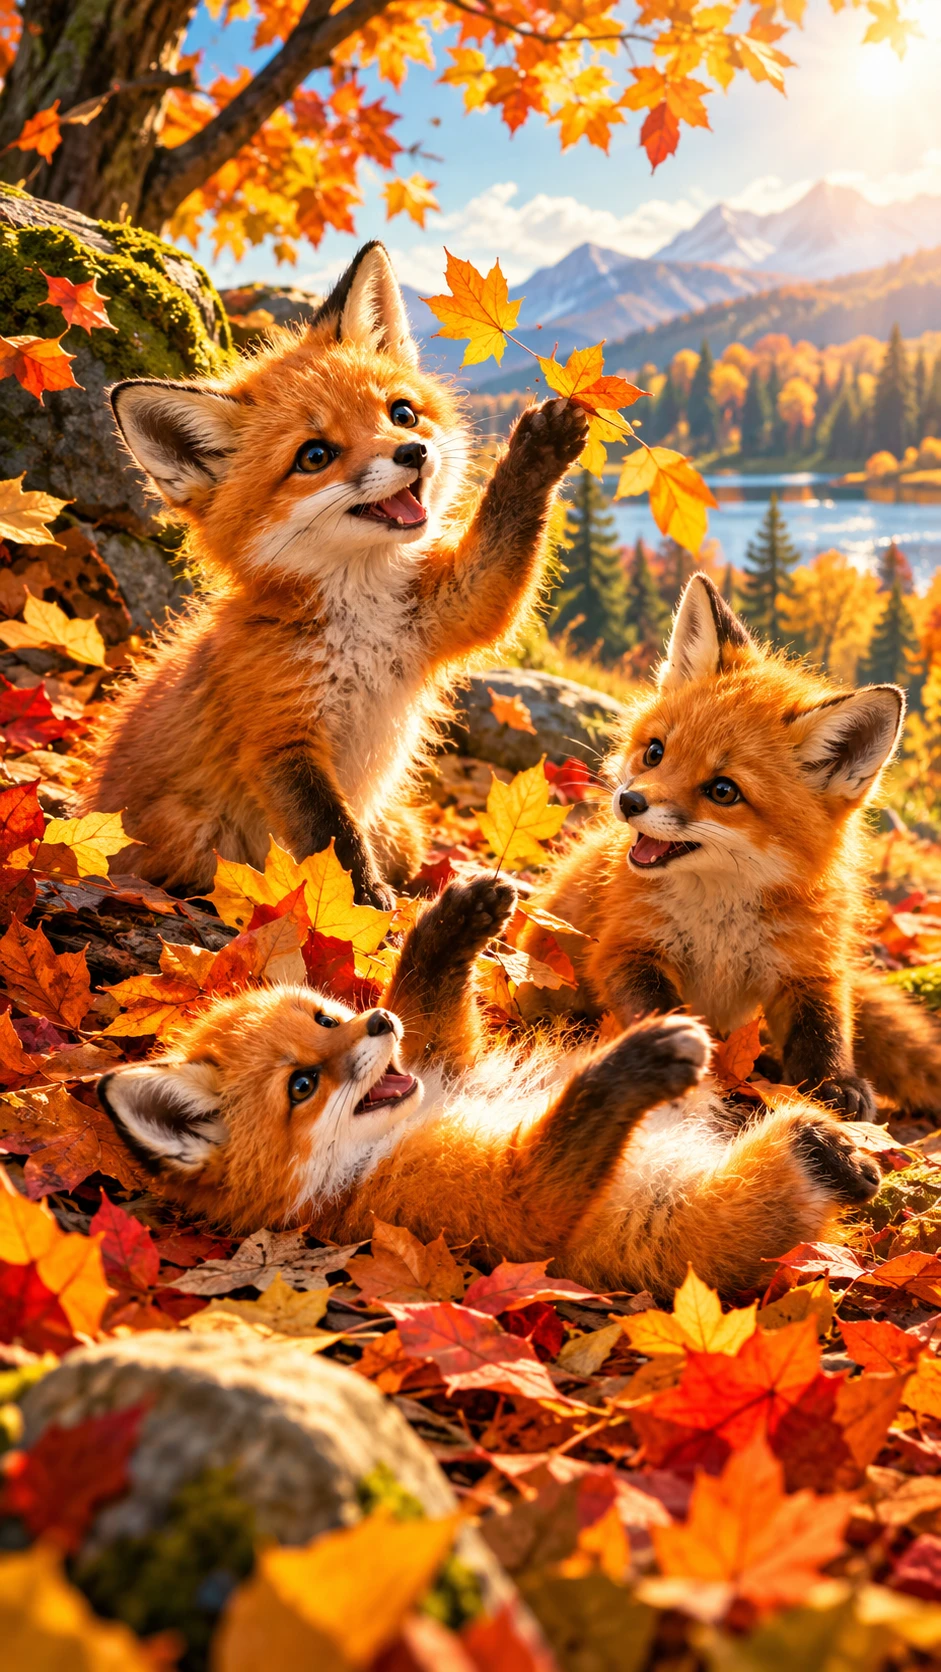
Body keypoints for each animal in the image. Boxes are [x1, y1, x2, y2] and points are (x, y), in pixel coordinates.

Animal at [84, 242, 588, 905]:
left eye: (402, 413)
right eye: (315, 456)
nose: (412, 453)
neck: (363, 617)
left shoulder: (456, 605)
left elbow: (503, 551)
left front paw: (538, 453)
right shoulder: (279, 736)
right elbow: (335, 844)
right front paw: (364, 913)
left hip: (402, 830)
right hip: (195, 839)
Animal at [97, 876, 881, 1299]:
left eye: (326, 1019)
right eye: (301, 1086)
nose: (376, 1022)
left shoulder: (447, 1058)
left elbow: (428, 998)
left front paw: (454, 921)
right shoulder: (491, 1210)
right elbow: (572, 1124)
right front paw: (636, 1063)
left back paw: (842, 1146)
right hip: (723, 1212)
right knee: (794, 1171)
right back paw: (834, 1159)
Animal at [528, 571, 941, 1120]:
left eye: (724, 791)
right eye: (655, 752)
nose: (630, 801)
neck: (721, 921)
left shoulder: (807, 967)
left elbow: (825, 1031)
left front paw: (835, 1084)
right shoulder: (626, 947)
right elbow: (659, 1009)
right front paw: (677, 1057)